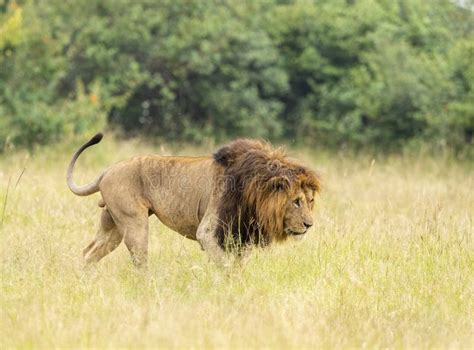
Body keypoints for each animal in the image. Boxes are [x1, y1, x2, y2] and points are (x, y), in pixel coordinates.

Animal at [66, 134, 320, 268]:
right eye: (296, 201)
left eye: (310, 201)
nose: (309, 225)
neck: (254, 195)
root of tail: (107, 170)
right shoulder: (208, 231)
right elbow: (225, 265)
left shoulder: (242, 234)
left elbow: (238, 266)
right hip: (133, 222)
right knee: (140, 261)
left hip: (113, 225)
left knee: (88, 253)